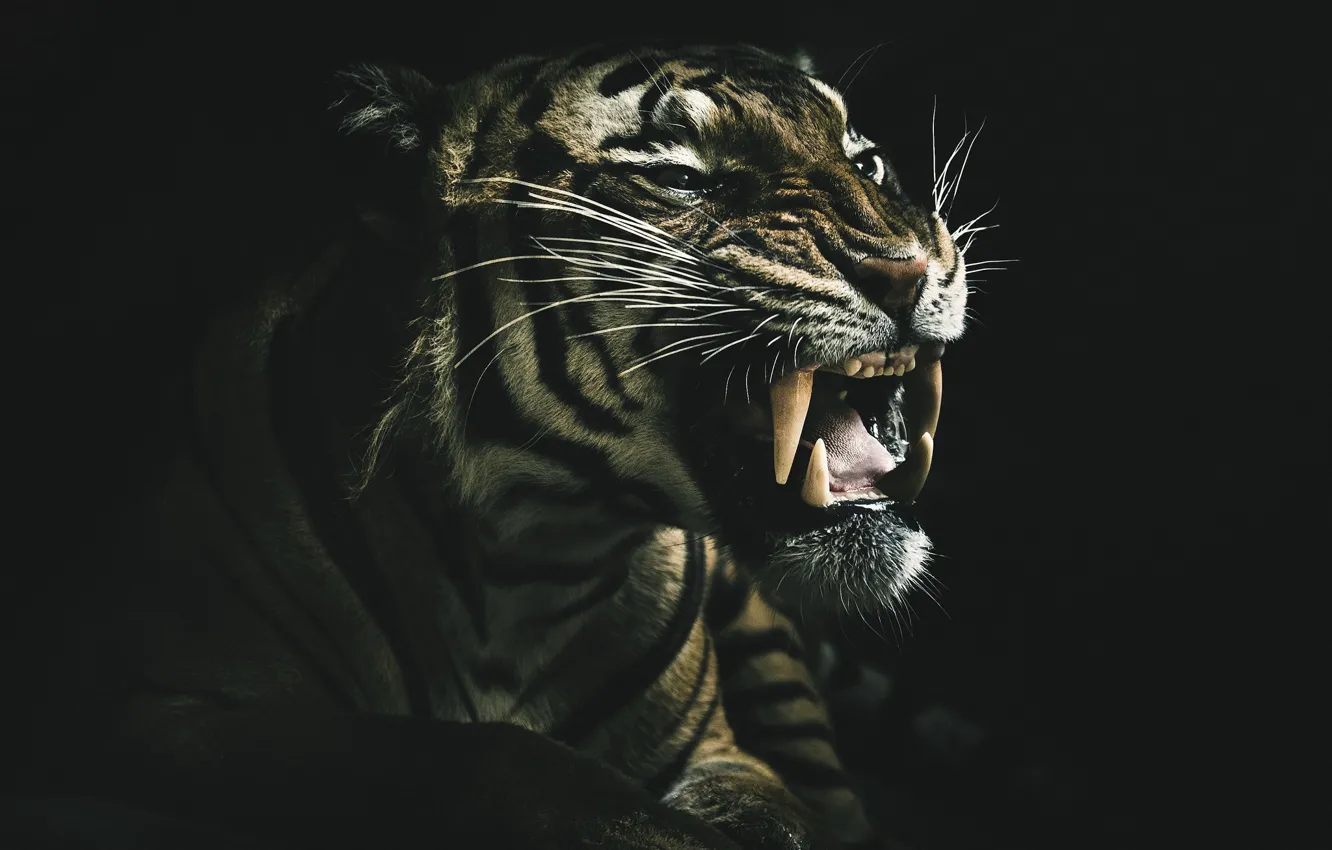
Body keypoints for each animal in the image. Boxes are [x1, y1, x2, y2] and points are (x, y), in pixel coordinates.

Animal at [28, 43, 971, 850]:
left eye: (868, 163)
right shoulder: (163, 709)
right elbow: (478, 756)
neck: (536, 555)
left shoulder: (720, 753)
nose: (911, 268)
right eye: (678, 179)